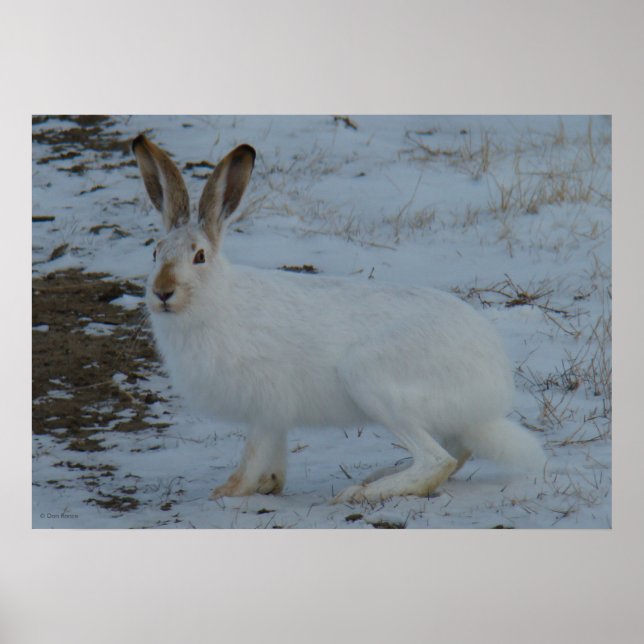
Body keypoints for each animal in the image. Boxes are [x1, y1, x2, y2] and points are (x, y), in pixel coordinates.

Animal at [132, 133, 545, 504]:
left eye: (199, 256)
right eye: (154, 253)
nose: (163, 292)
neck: (218, 300)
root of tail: (494, 385)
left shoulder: (267, 404)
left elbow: (253, 452)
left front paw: (230, 491)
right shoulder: (274, 415)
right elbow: (273, 455)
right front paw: (270, 484)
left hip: (372, 379)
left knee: (437, 461)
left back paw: (362, 492)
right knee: (456, 454)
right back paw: (380, 475)